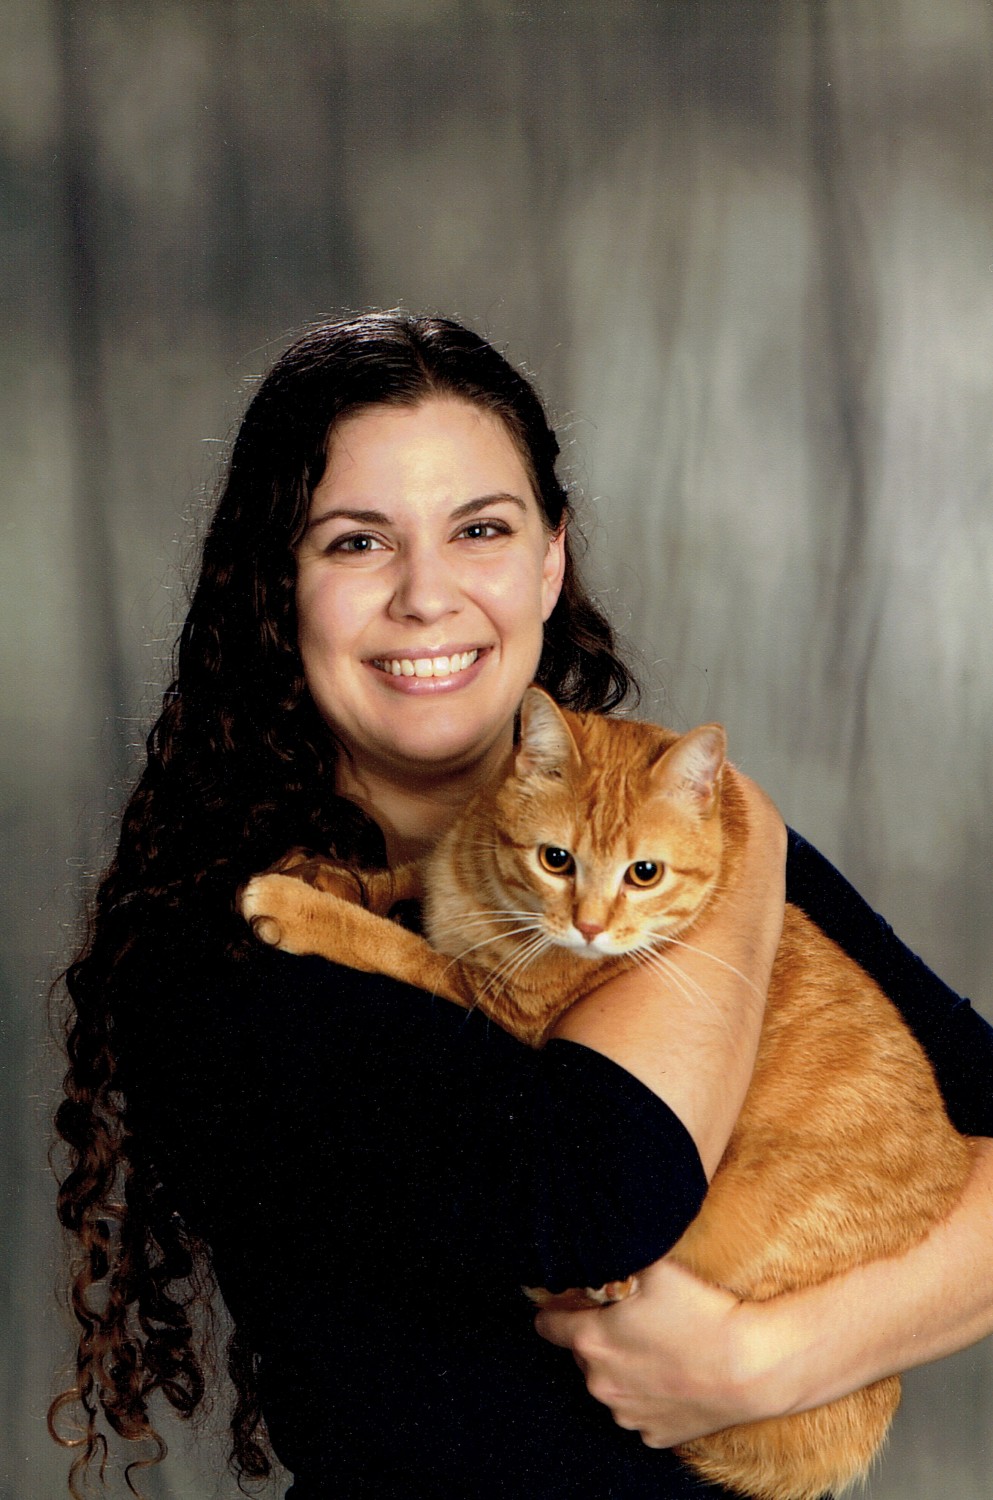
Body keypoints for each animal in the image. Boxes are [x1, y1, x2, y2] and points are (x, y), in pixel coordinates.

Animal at [241, 684, 972, 1500]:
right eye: (556, 859)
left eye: (643, 873)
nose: (589, 926)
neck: (487, 890)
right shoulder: (445, 877)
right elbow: (405, 875)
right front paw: (329, 871)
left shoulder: (491, 1010)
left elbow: (393, 947)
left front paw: (299, 906)